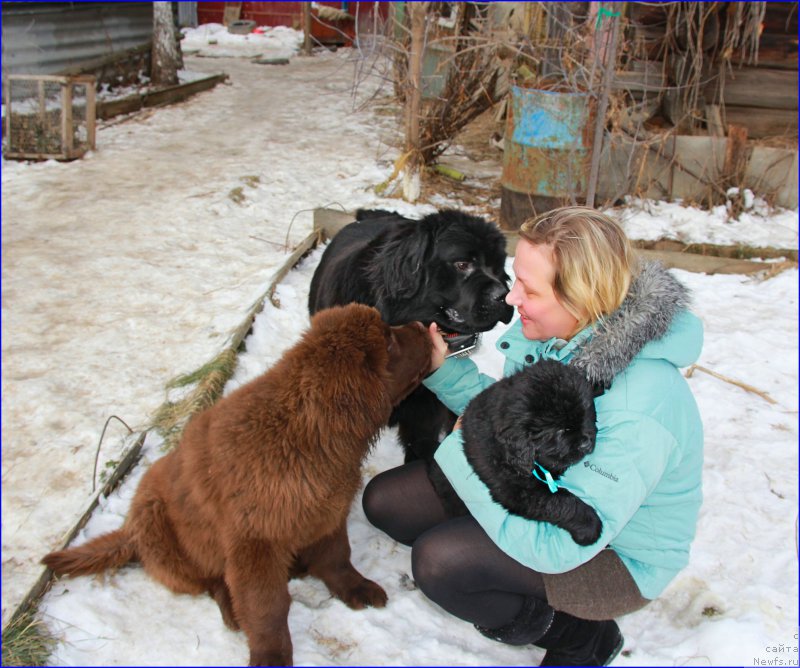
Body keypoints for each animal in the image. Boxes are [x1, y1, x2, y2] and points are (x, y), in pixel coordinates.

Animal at [43, 306, 432, 664]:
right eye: (389, 340)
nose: (420, 324)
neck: (306, 433)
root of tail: (129, 531)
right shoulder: (254, 539)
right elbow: (267, 607)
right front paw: (271, 656)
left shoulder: (326, 509)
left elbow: (336, 557)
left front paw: (356, 588)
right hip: (167, 536)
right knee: (212, 580)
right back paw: (232, 608)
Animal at [432, 358, 600, 544]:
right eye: (560, 431)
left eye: (586, 415)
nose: (586, 443)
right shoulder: (517, 491)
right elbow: (559, 500)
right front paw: (589, 526)